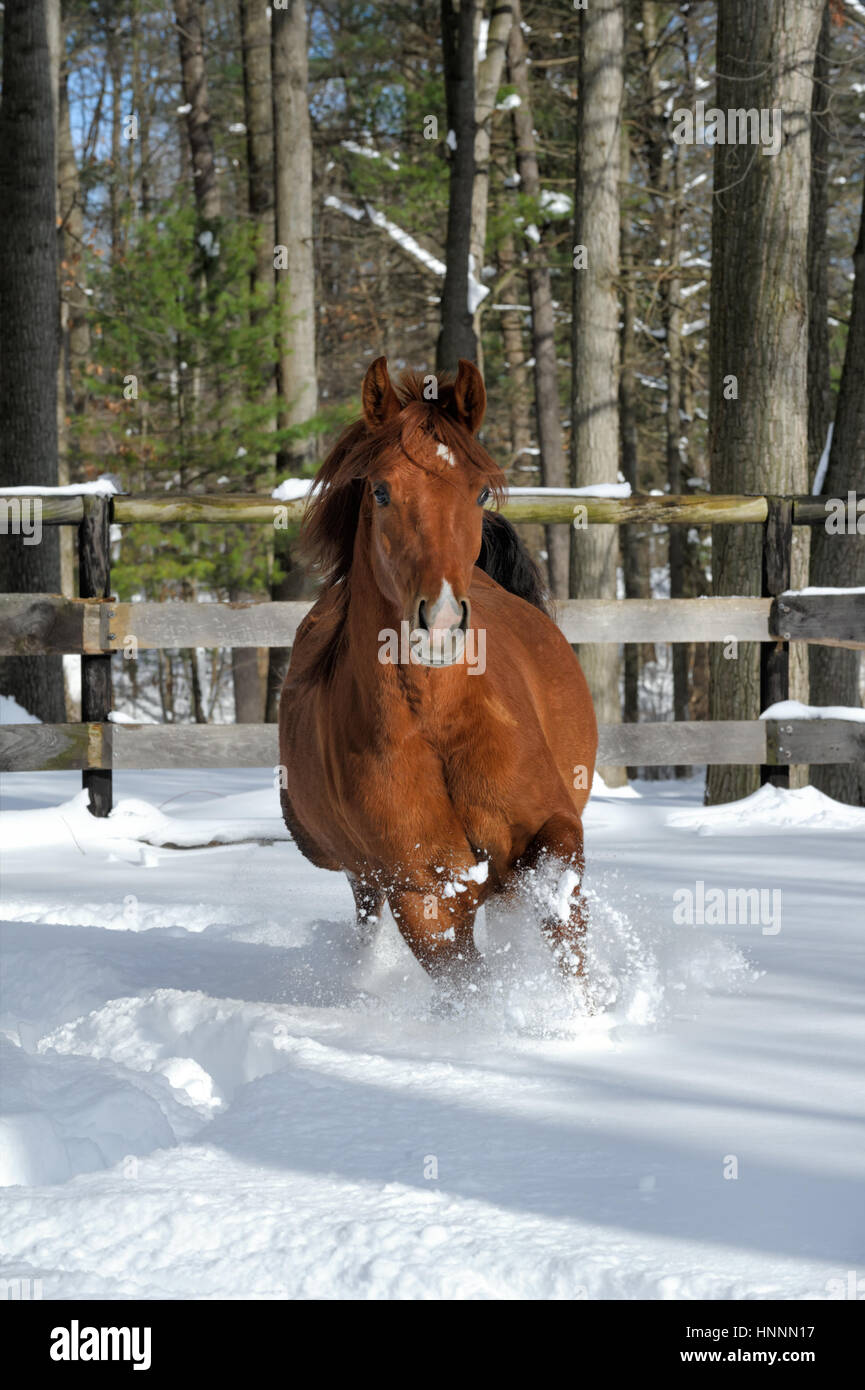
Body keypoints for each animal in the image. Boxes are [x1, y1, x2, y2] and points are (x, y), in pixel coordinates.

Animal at [280, 358, 600, 989]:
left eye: (479, 489)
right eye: (381, 490)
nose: (443, 621)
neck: (439, 726)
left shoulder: (553, 831)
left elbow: (567, 942)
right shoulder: (422, 894)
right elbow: (469, 989)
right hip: (365, 880)